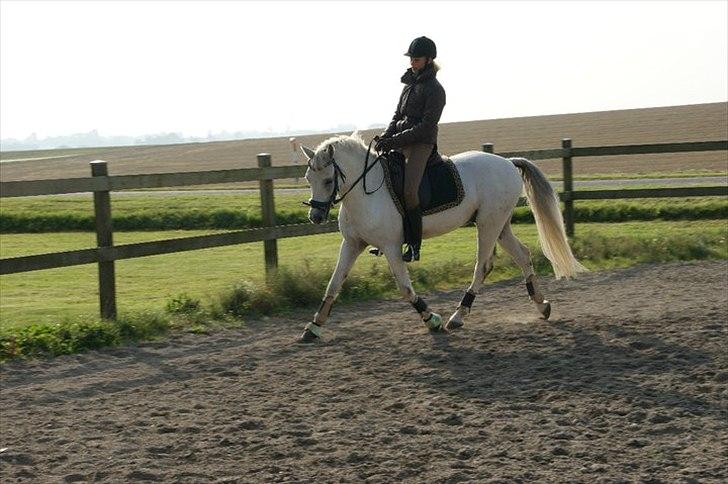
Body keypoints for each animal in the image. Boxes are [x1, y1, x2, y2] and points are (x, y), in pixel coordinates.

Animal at [298, 132, 588, 342]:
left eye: (327, 180)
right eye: (308, 178)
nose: (316, 216)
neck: (365, 192)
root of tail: (507, 162)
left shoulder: (391, 247)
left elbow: (405, 288)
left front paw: (432, 320)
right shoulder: (352, 244)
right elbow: (333, 285)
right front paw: (313, 326)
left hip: (488, 224)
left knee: (483, 265)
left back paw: (458, 315)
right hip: (500, 225)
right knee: (522, 254)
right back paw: (542, 305)